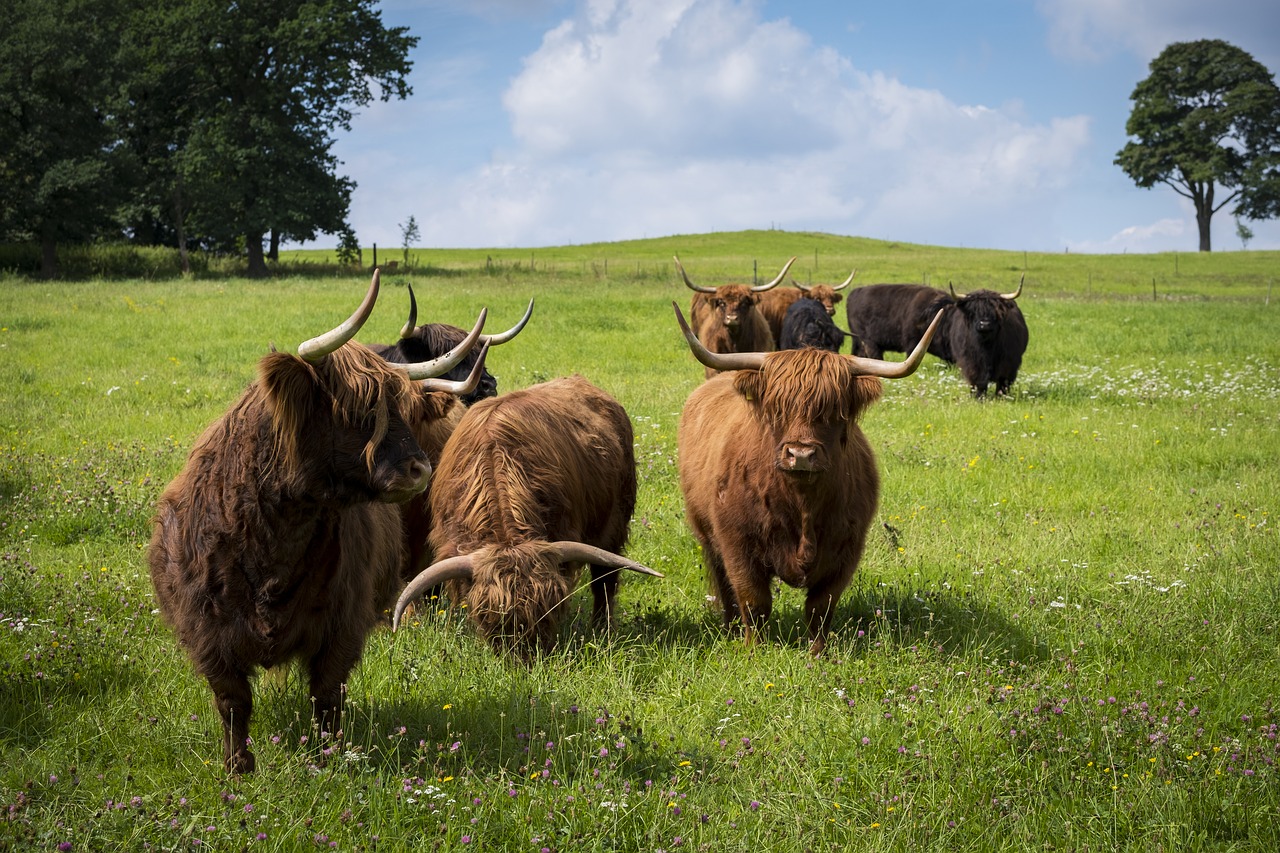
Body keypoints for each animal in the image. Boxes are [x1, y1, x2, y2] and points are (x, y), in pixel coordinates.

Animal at [146, 270, 483, 768]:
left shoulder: (342, 625)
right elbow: (233, 702)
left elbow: (326, 696)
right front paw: (238, 769)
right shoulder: (208, 631)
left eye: (401, 408)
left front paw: (325, 760)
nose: (420, 470)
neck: (272, 539)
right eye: (358, 408)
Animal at [394, 373, 665, 655]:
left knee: (604, 578)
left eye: (548, 612)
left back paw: (603, 628)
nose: (527, 660)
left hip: (615, 521)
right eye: (490, 619)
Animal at [670, 298, 942, 650]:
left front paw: (818, 653)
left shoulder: (847, 549)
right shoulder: (737, 543)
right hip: (706, 534)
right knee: (725, 588)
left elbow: (820, 607)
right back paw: (729, 630)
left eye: (834, 411)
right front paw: (753, 650)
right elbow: (753, 600)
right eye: (777, 408)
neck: (802, 504)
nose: (800, 455)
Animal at [849, 277, 1029, 397]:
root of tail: (855, 292)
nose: (984, 324)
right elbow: (978, 383)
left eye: (996, 310)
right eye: (973, 311)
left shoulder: (1008, 365)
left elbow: (1002, 383)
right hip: (869, 342)